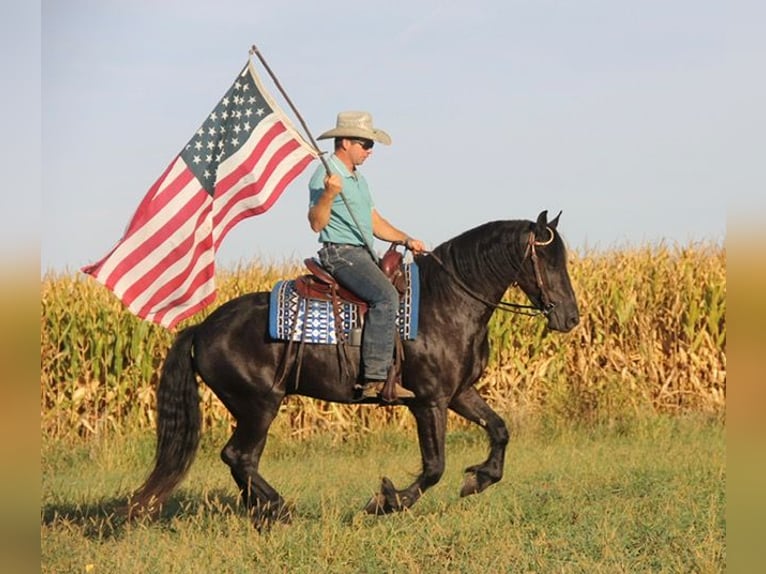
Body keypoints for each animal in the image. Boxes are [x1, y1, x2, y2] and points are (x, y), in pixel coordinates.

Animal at [129, 212, 580, 532]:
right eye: (545, 260)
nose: (571, 317)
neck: (447, 303)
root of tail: (203, 328)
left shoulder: (459, 394)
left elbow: (499, 430)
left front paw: (479, 478)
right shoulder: (429, 401)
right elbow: (434, 466)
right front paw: (386, 501)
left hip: (255, 408)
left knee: (243, 460)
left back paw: (265, 513)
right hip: (259, 405)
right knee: (238, 456)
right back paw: (277, 509)